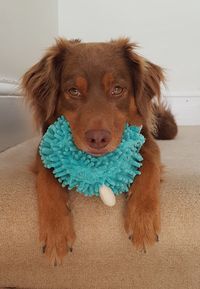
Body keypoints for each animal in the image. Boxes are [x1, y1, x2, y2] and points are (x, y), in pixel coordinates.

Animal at [21, 37, 177, 264]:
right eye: (74, 91)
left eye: (117, 89)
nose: (97, 139)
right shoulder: (44, 147)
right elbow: (47, 180)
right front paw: (56, 234)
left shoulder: (147, 141)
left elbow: (148, 167)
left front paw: (143, 223)